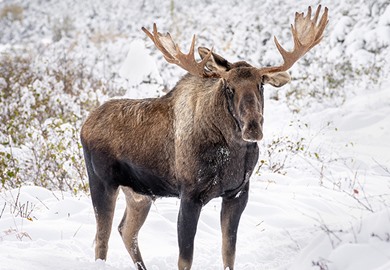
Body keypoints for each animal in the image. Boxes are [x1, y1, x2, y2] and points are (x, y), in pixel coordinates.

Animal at [81, 5, 330, 270]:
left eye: (261, 84)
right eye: (228, 87)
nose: (252, 127)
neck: (234, 153)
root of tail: (84, 124)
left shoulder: (237, 193)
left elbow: (228, 252)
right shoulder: (190, 195)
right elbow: (185, 258)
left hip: (139, 194)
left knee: (126, 231)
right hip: (102, 182)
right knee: (101, 239)